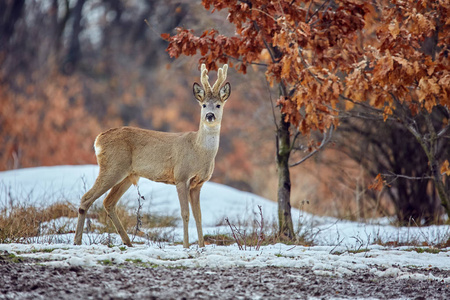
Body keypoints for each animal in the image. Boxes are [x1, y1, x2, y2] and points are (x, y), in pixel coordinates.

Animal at [74, 63, 232, 248]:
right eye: (204, 105)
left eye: (218, 105)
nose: (210, 116)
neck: (199, 151)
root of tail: (98, 139)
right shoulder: (181, 176)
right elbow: (185, 213)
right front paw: (186, 246)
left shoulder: (198, 184)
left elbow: (198, 216)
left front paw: (201, 247)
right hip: (112, 167)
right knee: (86, 198)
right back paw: (77, 241)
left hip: (128, 174)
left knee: (108, 202)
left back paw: (128, 243)